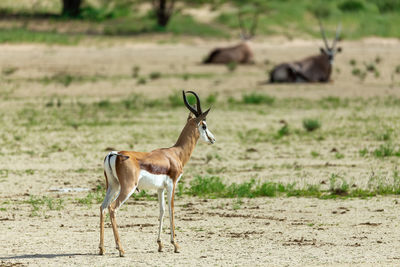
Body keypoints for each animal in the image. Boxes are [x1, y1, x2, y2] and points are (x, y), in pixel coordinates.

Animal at [98, 91, 214, 258]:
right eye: (204, 125)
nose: (212, 139)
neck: (176, 153)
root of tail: (114, 154)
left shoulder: (160, 188)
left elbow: (162, 210)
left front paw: (160, 244)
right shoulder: (173, 184)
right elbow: (172, 209)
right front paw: (175, 245)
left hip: (113, 186)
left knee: (102, 207)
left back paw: (102, 249)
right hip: (127, 188)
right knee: (112, 208)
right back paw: (121, 249)